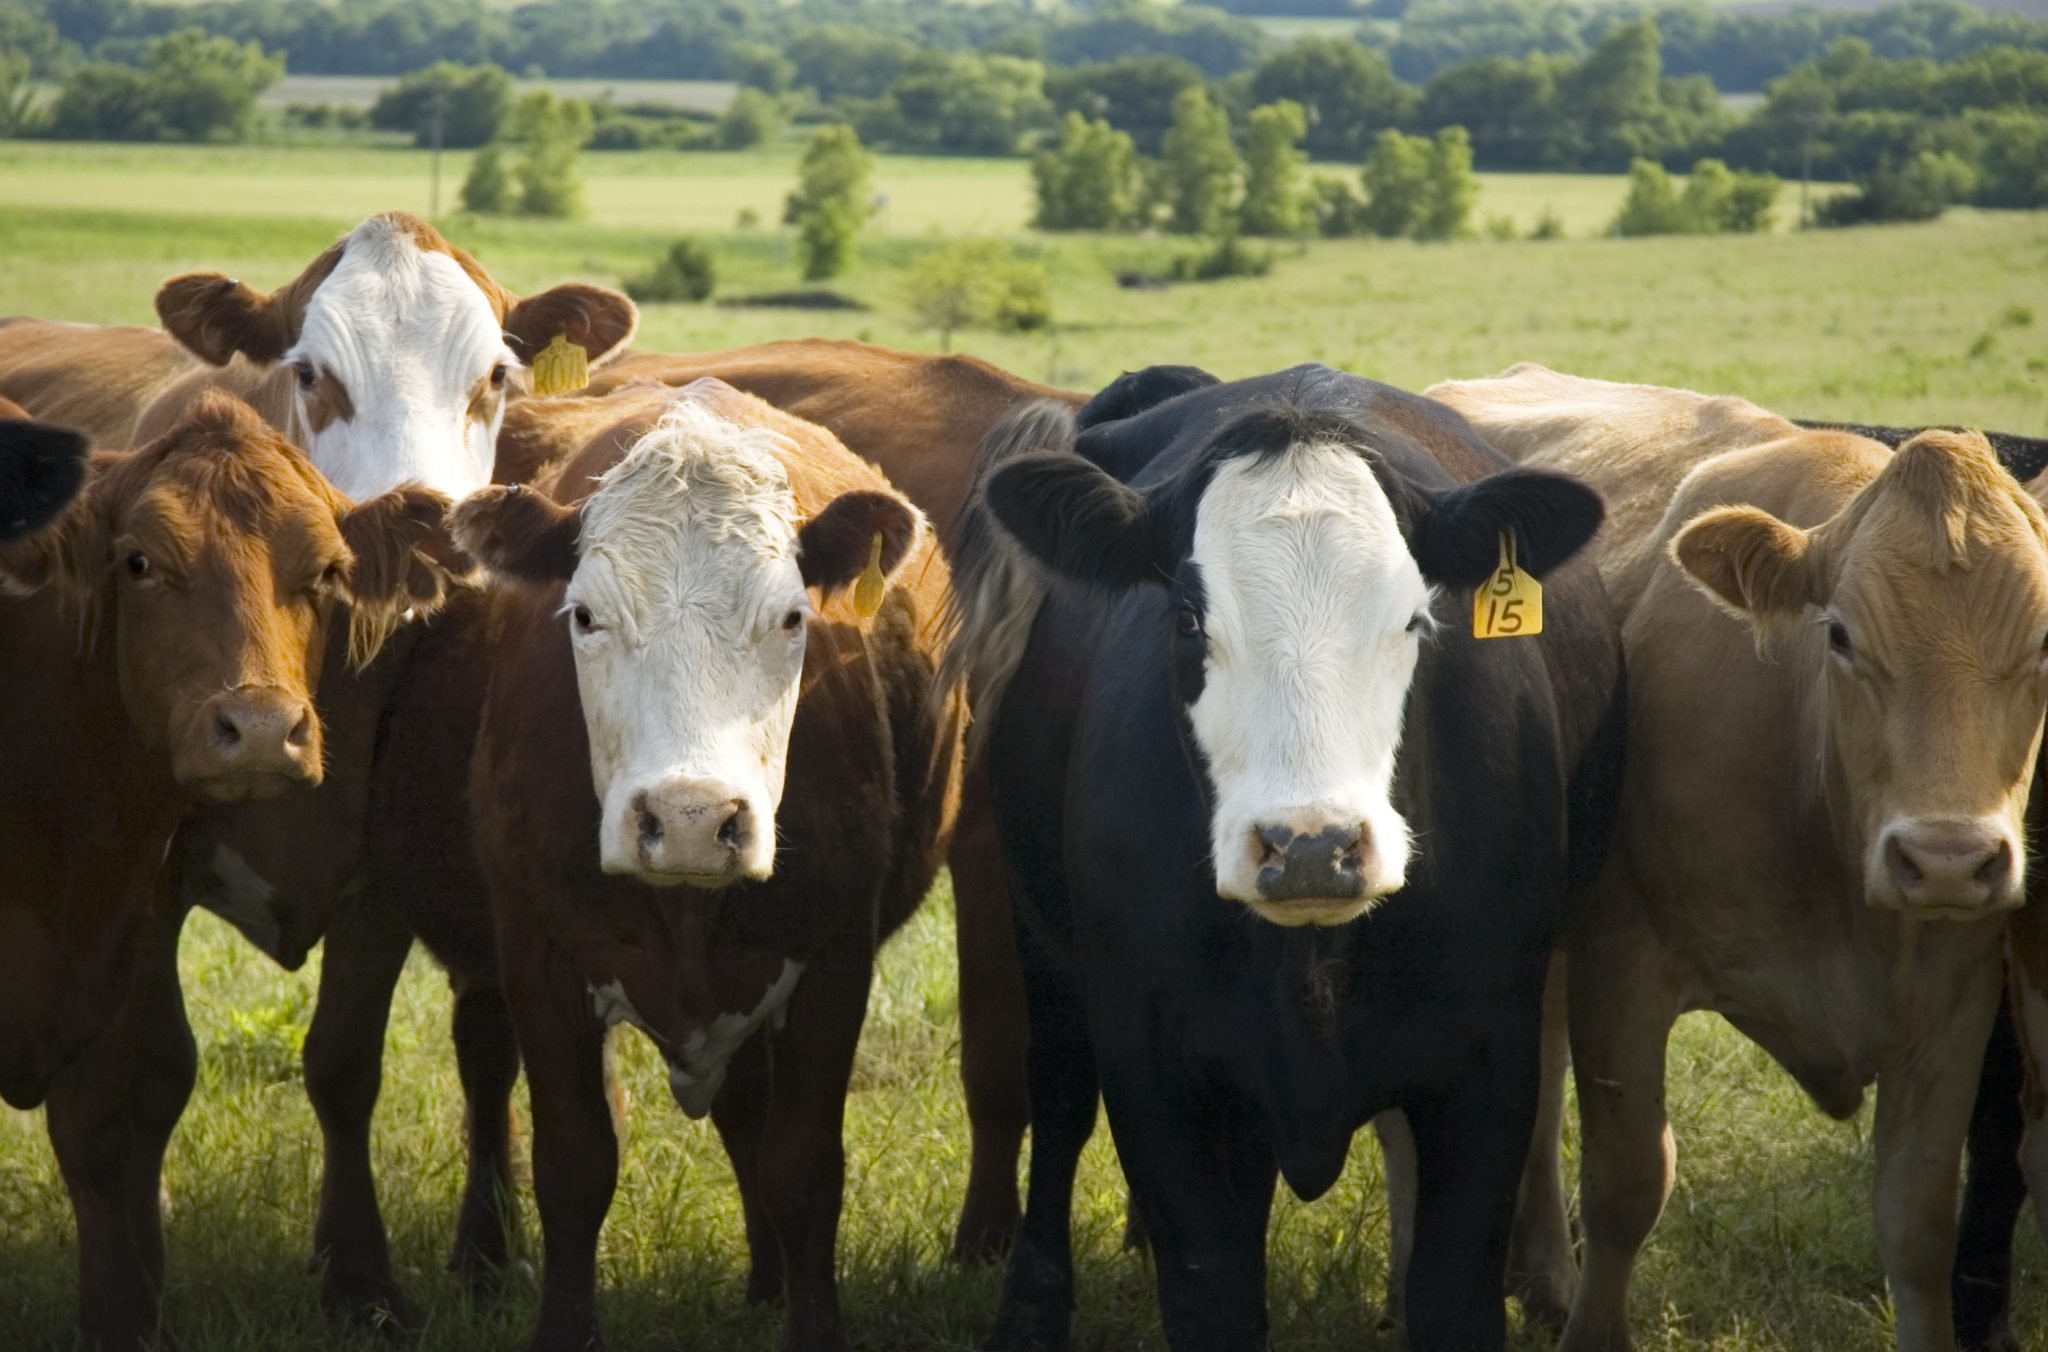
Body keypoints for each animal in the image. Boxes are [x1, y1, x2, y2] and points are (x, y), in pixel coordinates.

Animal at [943, 363, 1620, 1351]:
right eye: (1188, 620)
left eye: (1416, 618)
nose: (1312, 848)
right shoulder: (1153, 1065)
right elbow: (1212, 1291)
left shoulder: (1490, 1060)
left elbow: (1452, 1293)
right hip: (1045, 948)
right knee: (1059, 1099)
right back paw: (1030, 1311)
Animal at [1429, 363, 2048, 1352]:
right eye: (1839, 635)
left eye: (2043, 642)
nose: (1946, 860)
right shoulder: (1624, 967)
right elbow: (1628, 1184)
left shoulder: (1955, 1002)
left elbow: (1918, 1222)